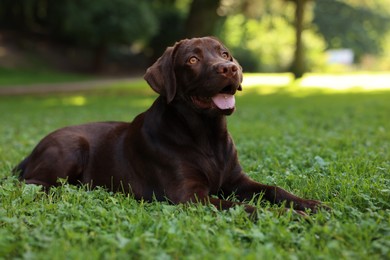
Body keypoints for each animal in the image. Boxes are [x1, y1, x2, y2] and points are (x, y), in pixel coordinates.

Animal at [14, 36, 326, 215]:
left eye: (225, 54)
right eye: (192, 59)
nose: (230, 69)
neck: (207, 135)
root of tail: (31, 152)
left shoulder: (237, 181)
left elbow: (273, 189)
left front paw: (312, 205)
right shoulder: (191, 196)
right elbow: (245, 208)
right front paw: (292, 215)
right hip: (70, 146)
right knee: (35, 185)